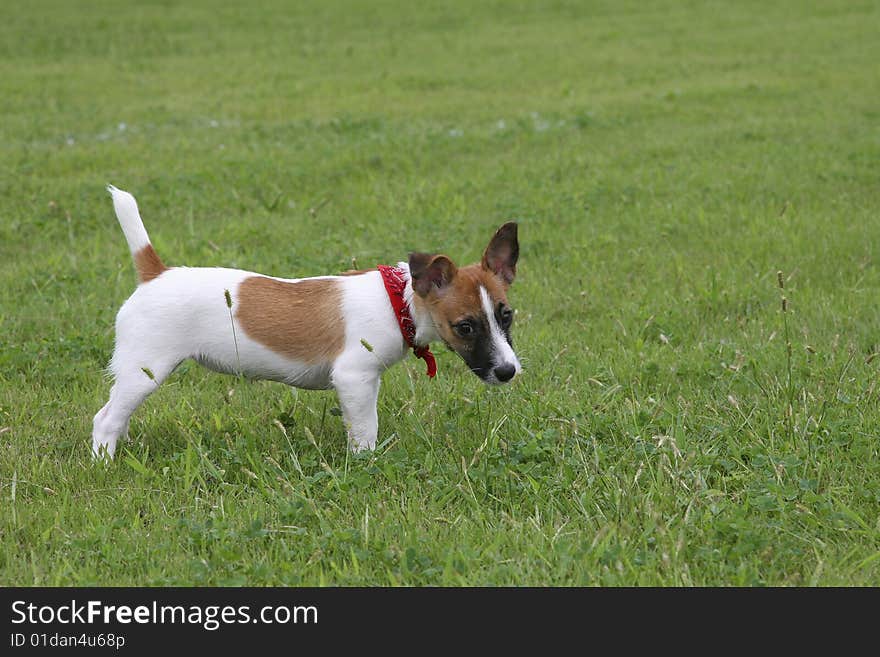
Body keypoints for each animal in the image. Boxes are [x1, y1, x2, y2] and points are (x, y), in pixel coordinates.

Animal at [94, 187, 524, 458]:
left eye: (506, 314)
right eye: (465, 326)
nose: (508, 372)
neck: (396, 300)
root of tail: (156, 274)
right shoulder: (354, 378)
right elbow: (365, 430)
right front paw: (367, 463)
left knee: (119, 414)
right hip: (145, 368)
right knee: (105, 419)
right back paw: (105, 462)